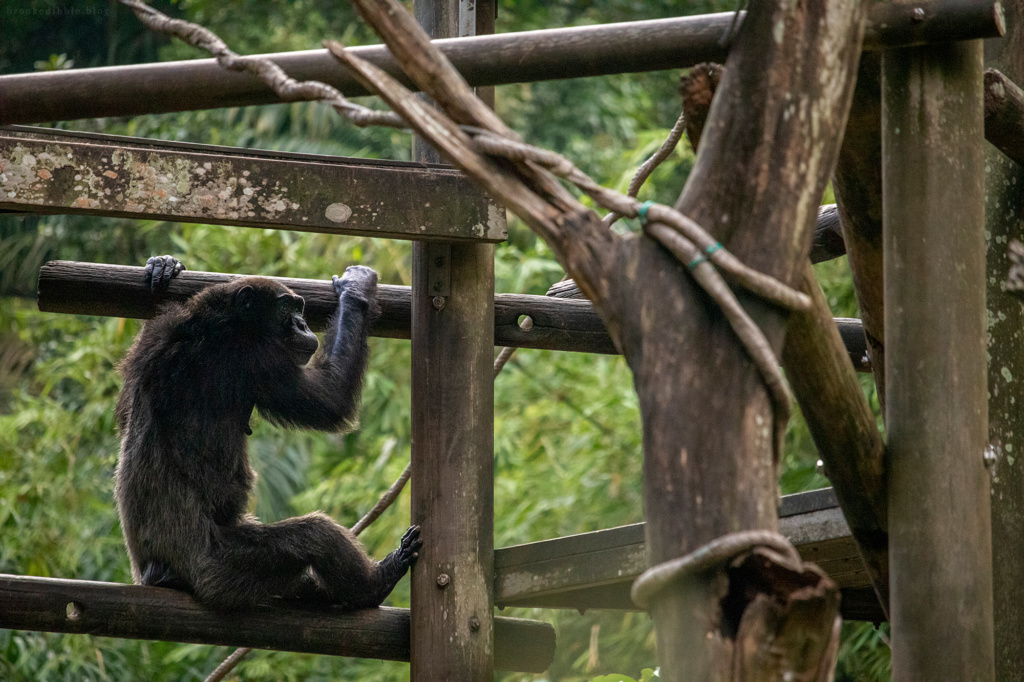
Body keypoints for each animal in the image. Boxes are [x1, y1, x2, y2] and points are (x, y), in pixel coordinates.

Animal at [111, 254, 415, 610]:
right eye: (287, 309)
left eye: (300, 309)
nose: (302, 325)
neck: (223, 324)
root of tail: (153, 574)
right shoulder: (263, 359)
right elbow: (331, 399)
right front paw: (356, 290)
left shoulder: (157, 335)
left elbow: (124, 410)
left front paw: (164, 267)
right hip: (224, 569)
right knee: (316, 535)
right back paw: (377, 580)